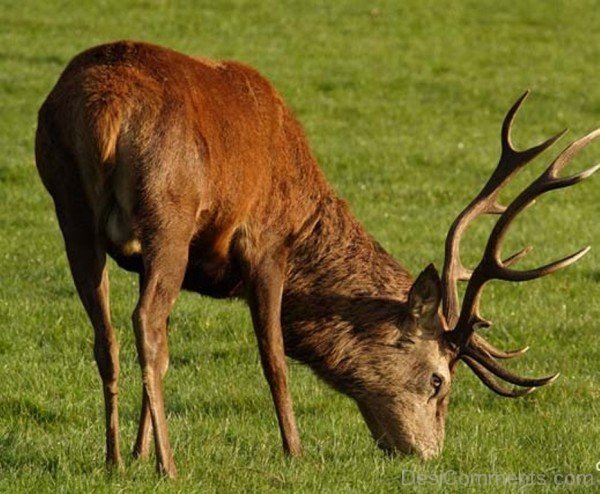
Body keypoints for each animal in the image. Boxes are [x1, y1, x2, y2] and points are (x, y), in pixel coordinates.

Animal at [34, 40, 600, 476]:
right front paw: (296, 450)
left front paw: (137, 449)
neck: (305, 218)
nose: (428, 455)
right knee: (145, 324)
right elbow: (274, 356)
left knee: (109, 334)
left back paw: (113, 460)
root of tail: (106, 110)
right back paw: (169, 468)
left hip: (68, 203)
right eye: (438, 380)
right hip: (168, 212)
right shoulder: (265, 245)